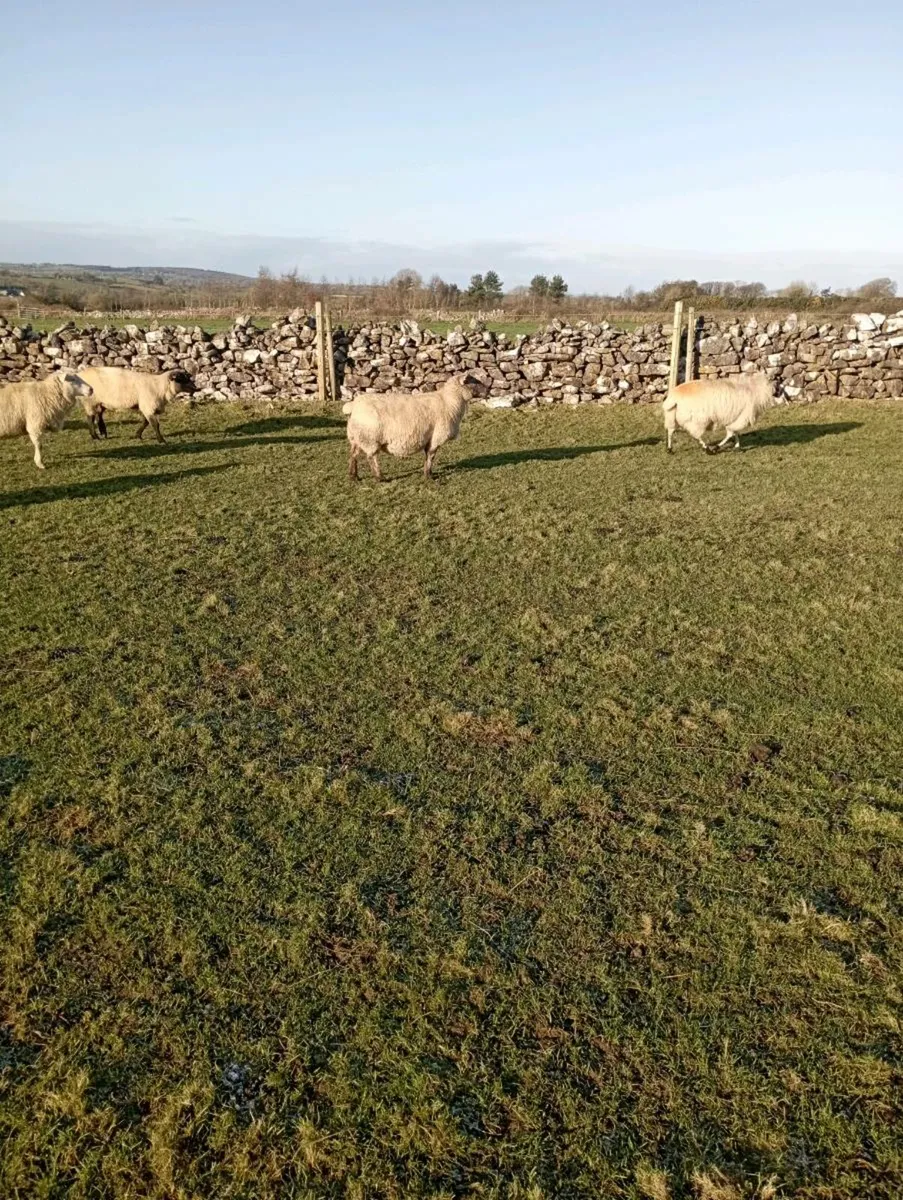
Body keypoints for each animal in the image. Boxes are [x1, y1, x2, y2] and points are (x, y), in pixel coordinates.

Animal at [343, 373, 489, 481]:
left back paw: (353, 476)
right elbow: (431, 456)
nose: (487, 391)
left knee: (353, 455)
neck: (449, 401)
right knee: (371, 457)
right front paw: (429, 476)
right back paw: (379, 478)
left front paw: (428, 473)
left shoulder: (430, 438)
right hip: (370, 438)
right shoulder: (436, 438)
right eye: (474, 381)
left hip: (356, 437)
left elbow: (428, 456)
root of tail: (353, 406)